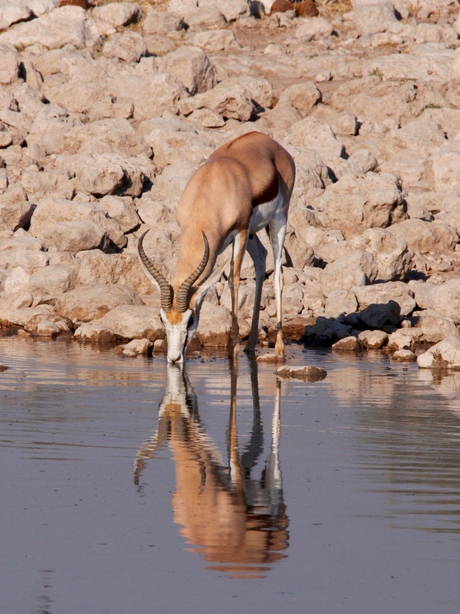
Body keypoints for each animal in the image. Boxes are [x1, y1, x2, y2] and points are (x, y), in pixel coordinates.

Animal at [137, 132, 294, 364]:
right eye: (161, 318)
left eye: (190, 319)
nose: (174, 358)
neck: (210, 190)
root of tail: (271, 142)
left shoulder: (240, 231)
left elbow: (233, 281)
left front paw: (233, 348)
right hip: (253, 233)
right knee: (261, 259)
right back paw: (250, 345)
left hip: (277, 221)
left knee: (277, 276)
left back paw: (279, 350)